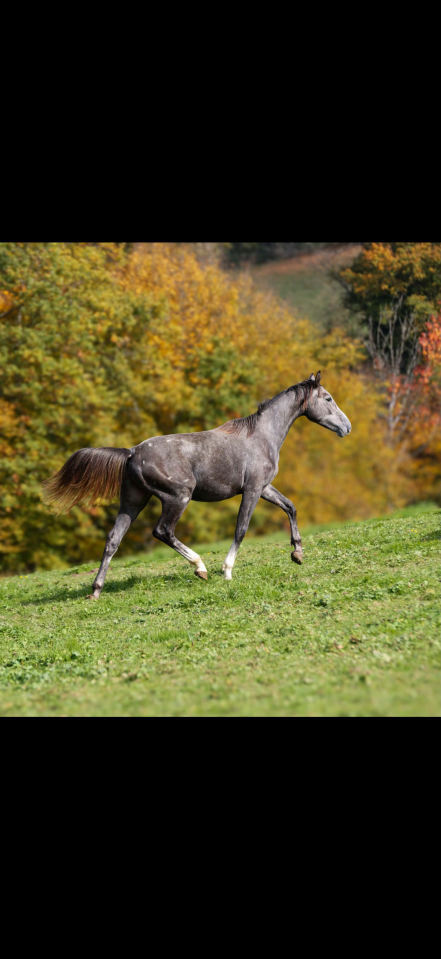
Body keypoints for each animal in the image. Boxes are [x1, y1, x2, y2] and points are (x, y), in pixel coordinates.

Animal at [42, 372, 351, 598]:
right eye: (328, 398)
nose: (347, 427)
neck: (262, 436)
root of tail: (131, 452)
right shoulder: (252, 490)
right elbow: (241, 529)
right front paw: (226, 571)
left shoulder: (264, 488)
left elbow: (290, 507)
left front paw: (297, 553)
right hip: (178, 497)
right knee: (162, 531)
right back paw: (199, 567)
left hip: (133, 500)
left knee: (112, 540)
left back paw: (95, 591)